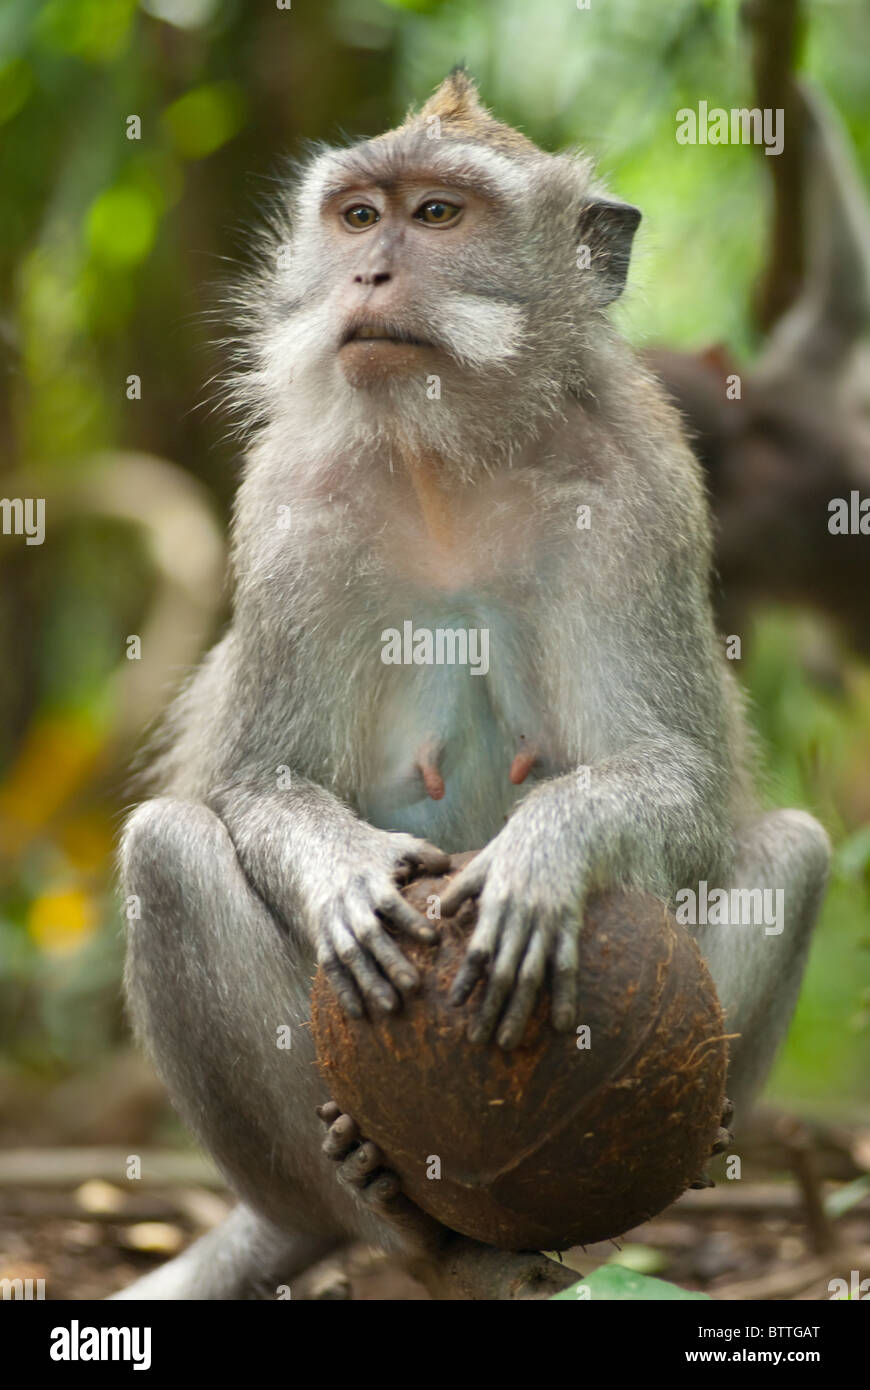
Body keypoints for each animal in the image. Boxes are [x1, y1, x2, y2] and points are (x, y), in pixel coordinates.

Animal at [115, 70, 828, 1295]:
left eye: (438, 215)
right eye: (359, 216)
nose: (368, 272)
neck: (447, 458)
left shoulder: (639, 498)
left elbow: (681, 776)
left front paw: (547, 850)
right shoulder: (289, 505)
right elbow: (257, 776)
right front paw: (344, 870)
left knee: (793, 852)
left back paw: (592, 1224)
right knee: (165, 851)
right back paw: (372, 1200)